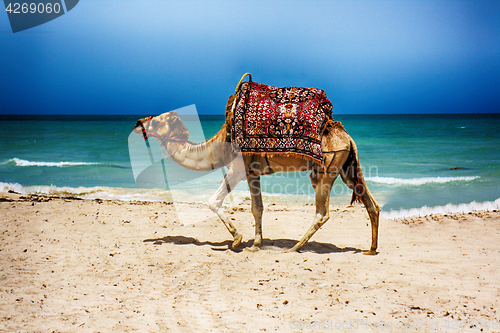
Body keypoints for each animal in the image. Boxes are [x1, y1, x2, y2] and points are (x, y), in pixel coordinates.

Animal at [133, 79, 378, 253]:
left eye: (158, 120)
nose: (138, 122)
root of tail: (347, 137)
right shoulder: (252, 173)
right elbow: (257, 208)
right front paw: (255, 244)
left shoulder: (237, 169)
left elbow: (213, 201)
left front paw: (237, 240)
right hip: (346, 168)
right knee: (370, 203)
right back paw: (371, 249)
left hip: (326, 168)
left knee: (322, 213)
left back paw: (295, 247)